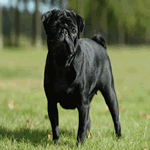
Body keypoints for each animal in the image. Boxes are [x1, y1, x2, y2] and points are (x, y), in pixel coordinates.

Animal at [41, 9, 121, 145]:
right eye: (54, 27)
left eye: (74, 31)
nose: (64, 31)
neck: (63, 64)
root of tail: (99, 44)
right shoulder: (51, 103)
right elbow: (55, 125)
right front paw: (56, 143)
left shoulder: (83, 104)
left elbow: (81, 127)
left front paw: (79, 144)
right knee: (88, 120)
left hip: (109, 93)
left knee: (115, 117)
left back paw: (118, 137)